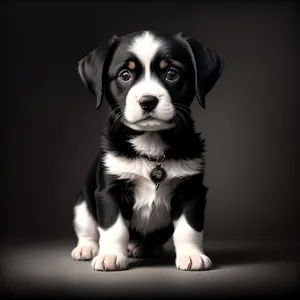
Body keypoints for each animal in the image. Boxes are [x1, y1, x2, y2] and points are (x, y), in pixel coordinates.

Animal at [71, 31, 224, 272]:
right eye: (125, 75)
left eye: (171, 74)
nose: (148, 101)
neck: (151, 144)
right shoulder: (109, 191)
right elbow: (113, 228)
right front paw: (110, 255)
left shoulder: (191, 190)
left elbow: (189, 229)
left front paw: (192, 255)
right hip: (82, 205)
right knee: (88, 229)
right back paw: (87, 248)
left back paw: (144, 247)